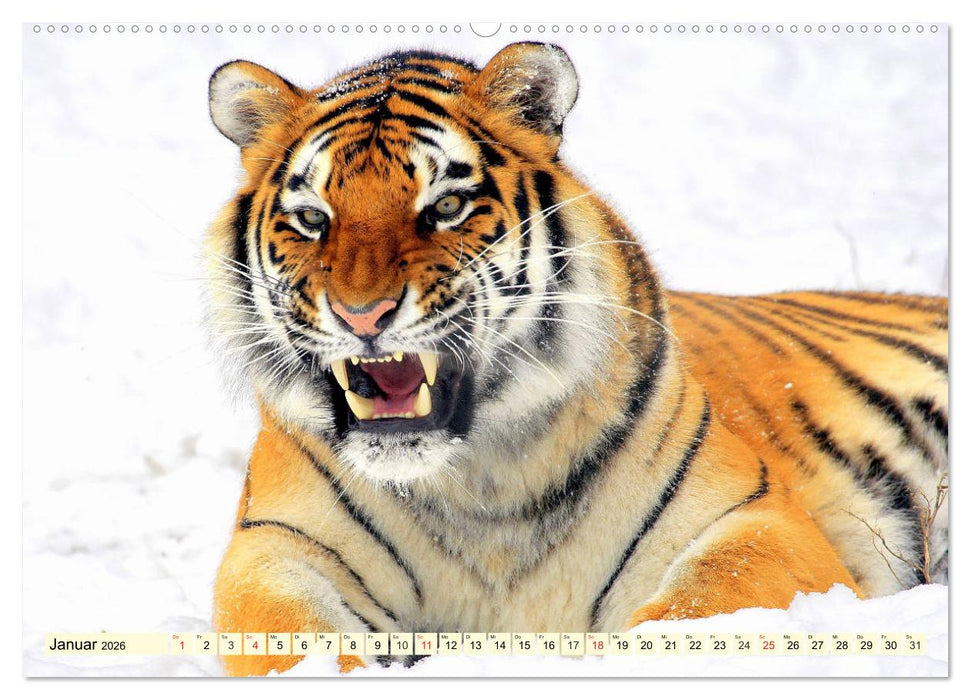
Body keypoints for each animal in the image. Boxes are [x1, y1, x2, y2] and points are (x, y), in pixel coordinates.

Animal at [204, 42, 948, 676]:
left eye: (446, 206)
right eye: (312, 219)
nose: (362, 316)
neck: (478, 485)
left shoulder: (756, 520)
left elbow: (692, 612)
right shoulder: (273, 548)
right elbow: (292, 639)